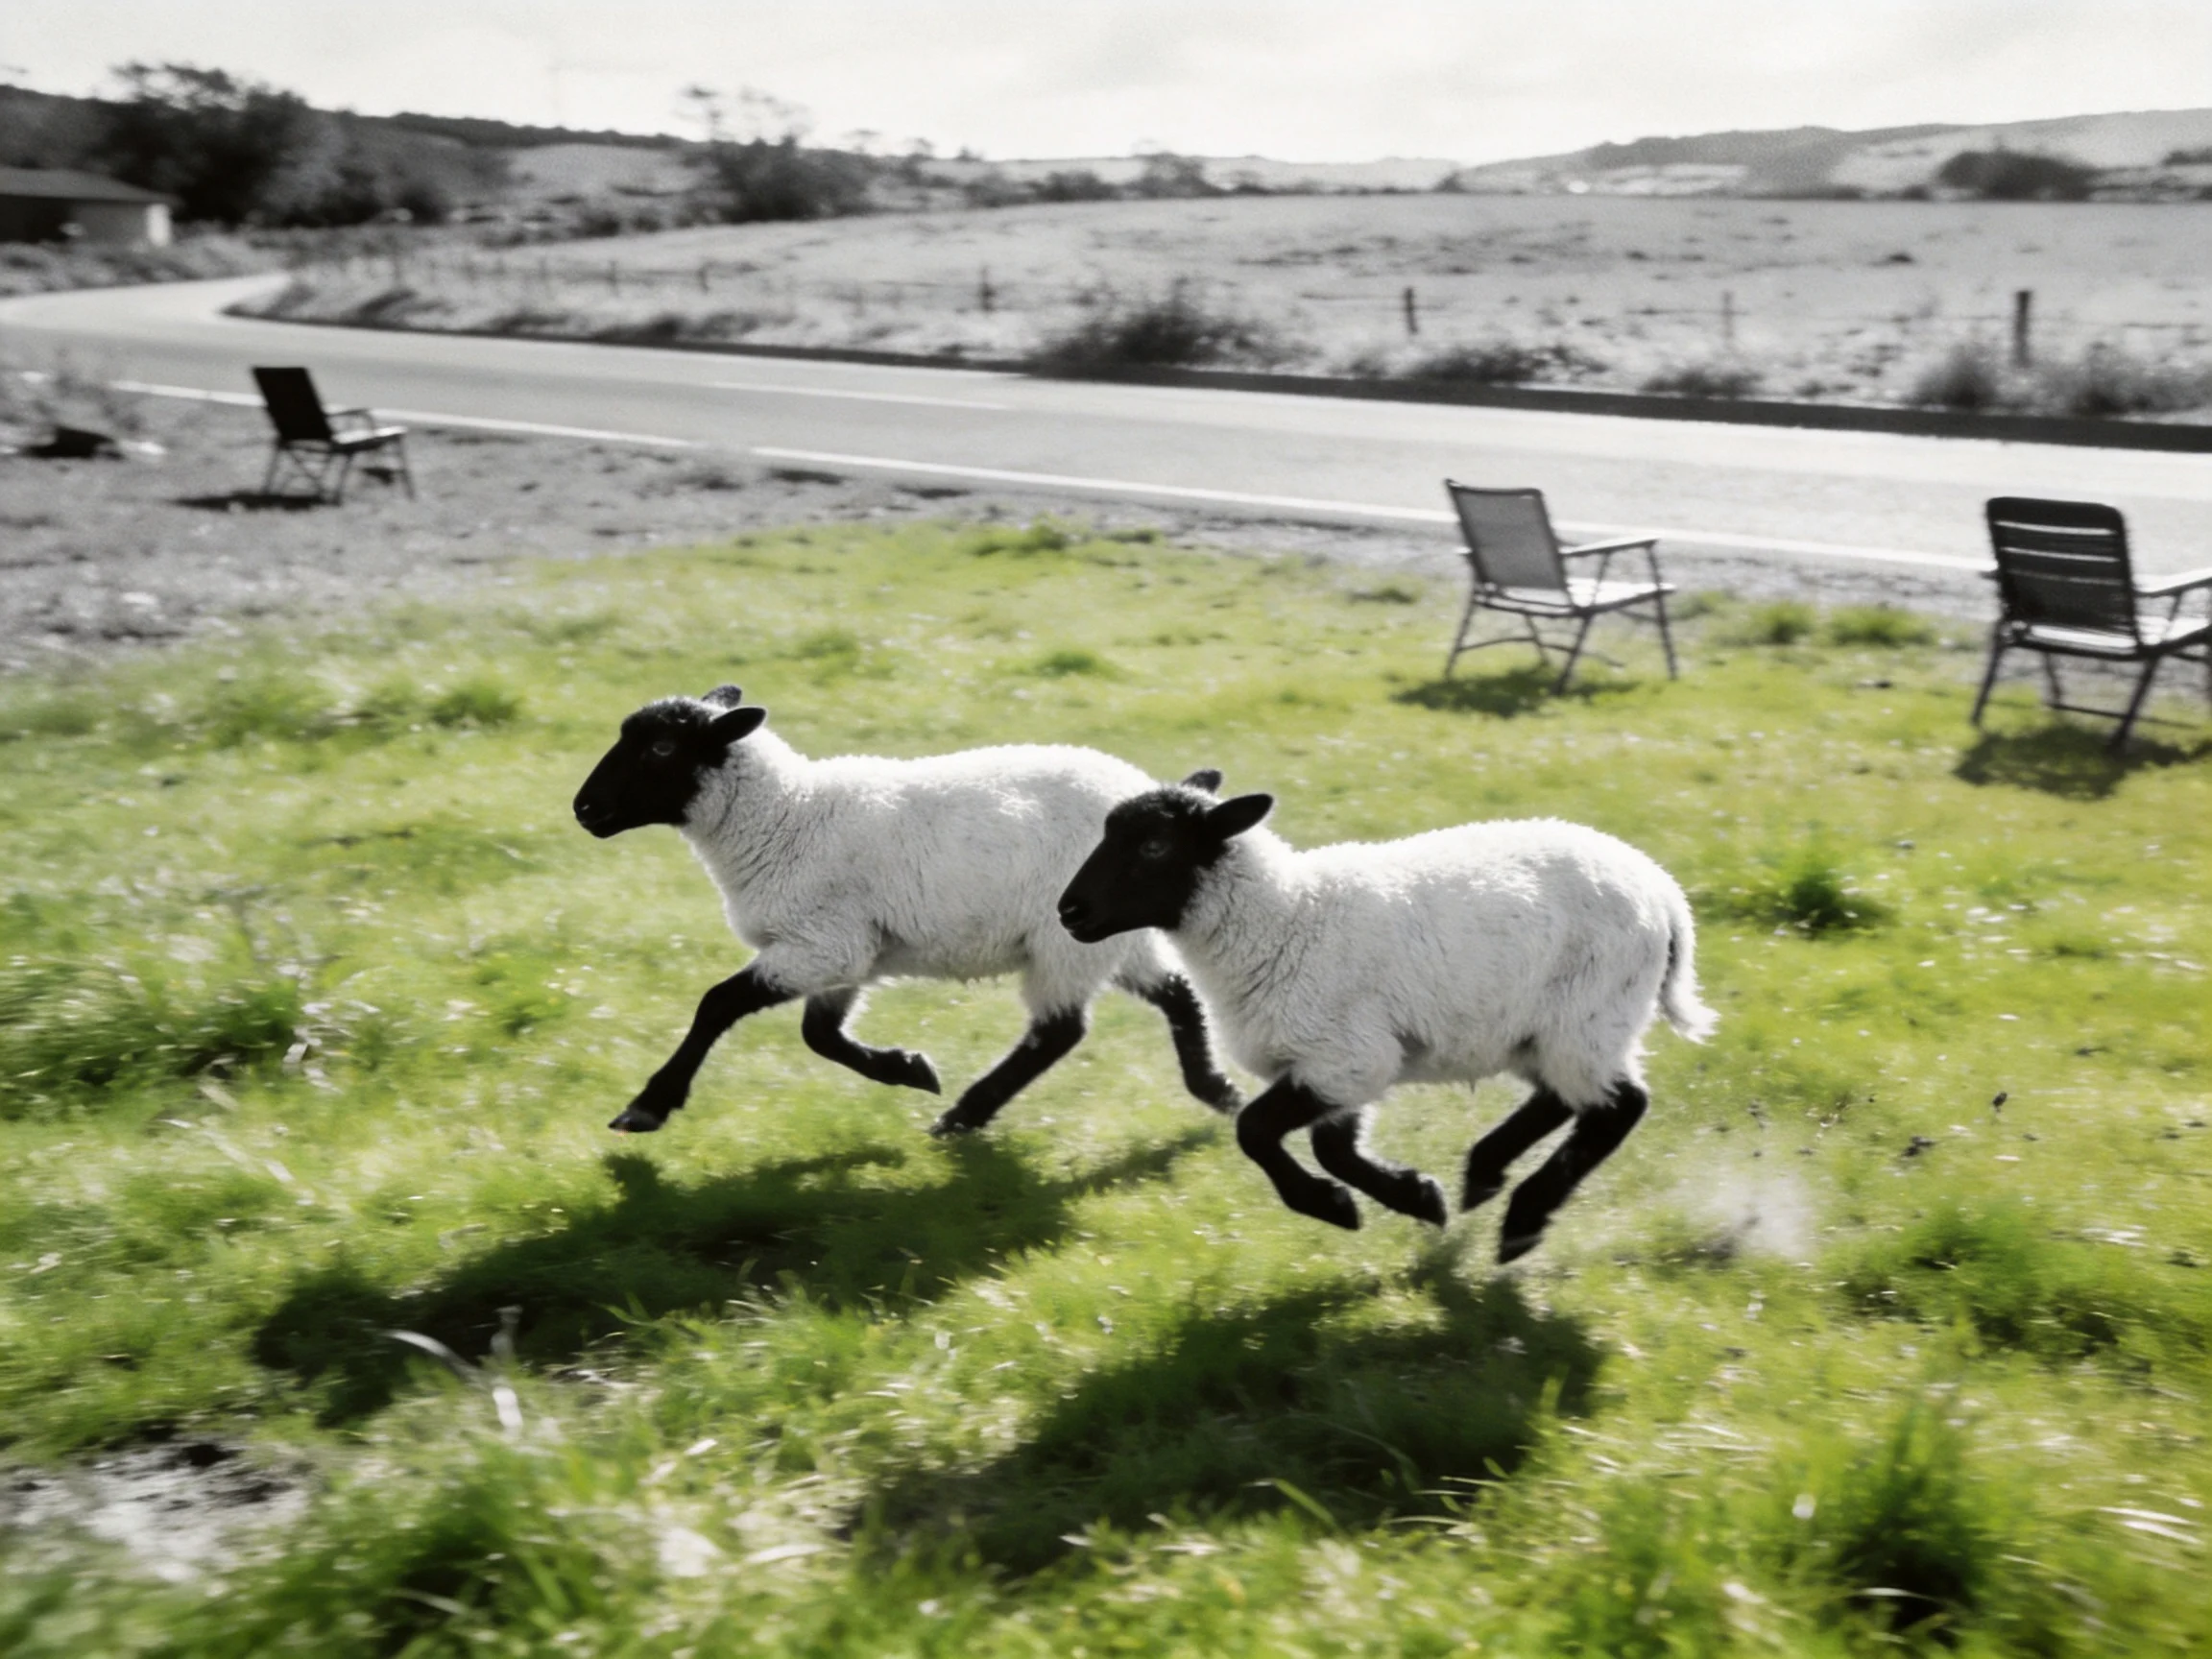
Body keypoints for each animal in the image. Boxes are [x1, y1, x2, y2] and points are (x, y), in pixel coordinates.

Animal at [570, 685, 1241, 1137]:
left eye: (661, 747)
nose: (583, 809)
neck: (784, 819)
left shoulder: (824, 942)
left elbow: (718, 1004)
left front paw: (647, 1106)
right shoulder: (847, 954)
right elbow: (821, 1036)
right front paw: (908, 1069)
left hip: (1066, 939)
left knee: (1058, 1032)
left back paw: (965, 1115)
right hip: (1109, 936)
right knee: (1177, 994)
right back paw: (1216, 1089)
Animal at [1055, 778, 1715, 1262]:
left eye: (1154, 846)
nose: (1069, 912)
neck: (1280, 919)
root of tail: (1666, 895)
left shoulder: (1346, 1055)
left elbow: (1256, 1129)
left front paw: (1335, 1206)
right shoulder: (1343, 1065)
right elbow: (1332, 1147)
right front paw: (1416, 1198)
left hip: (1591, 1012)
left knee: (1617, 1107)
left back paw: (1521, 1223)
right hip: (1543, 1028)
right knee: (1560, 1098)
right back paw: (1484, 1175)